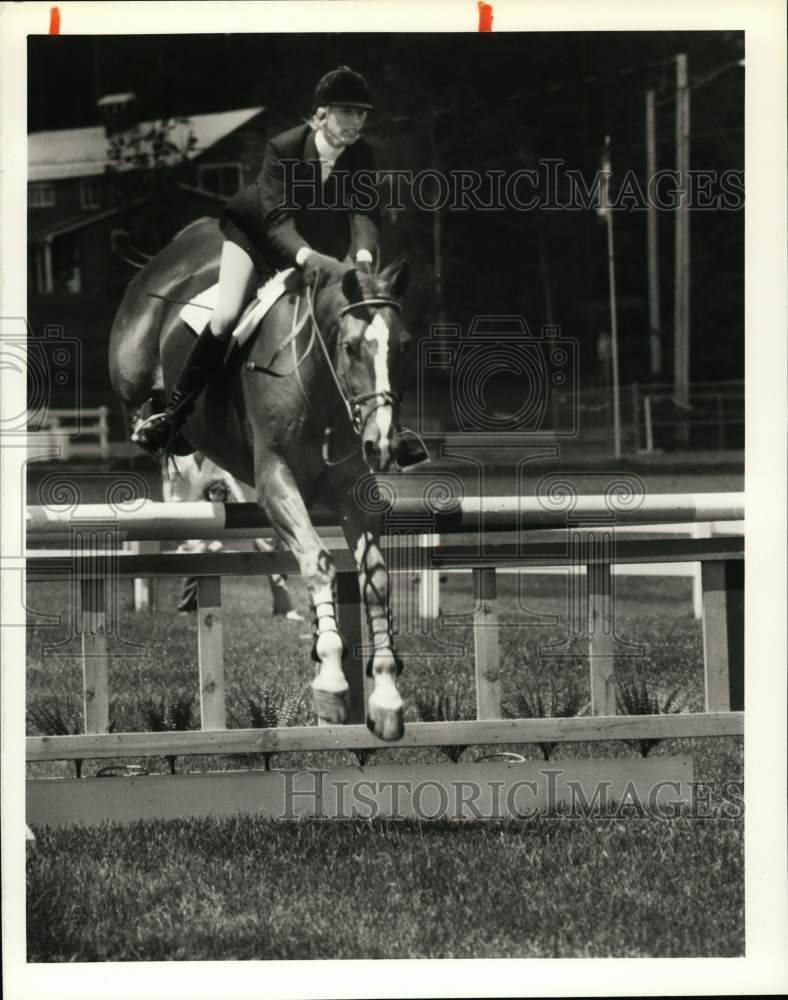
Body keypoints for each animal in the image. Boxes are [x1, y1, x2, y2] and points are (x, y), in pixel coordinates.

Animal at [112, 215, 418, 740]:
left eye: (401, 348)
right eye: (351, 347)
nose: (383, 444)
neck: (317, 381)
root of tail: (187, 240)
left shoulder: (353, 492)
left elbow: (375, 578)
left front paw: (385, 697)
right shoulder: (276, 481)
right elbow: (317, 561)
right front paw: (331, 683)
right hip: (133, 367)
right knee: (141, 402)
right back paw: (155, 424)